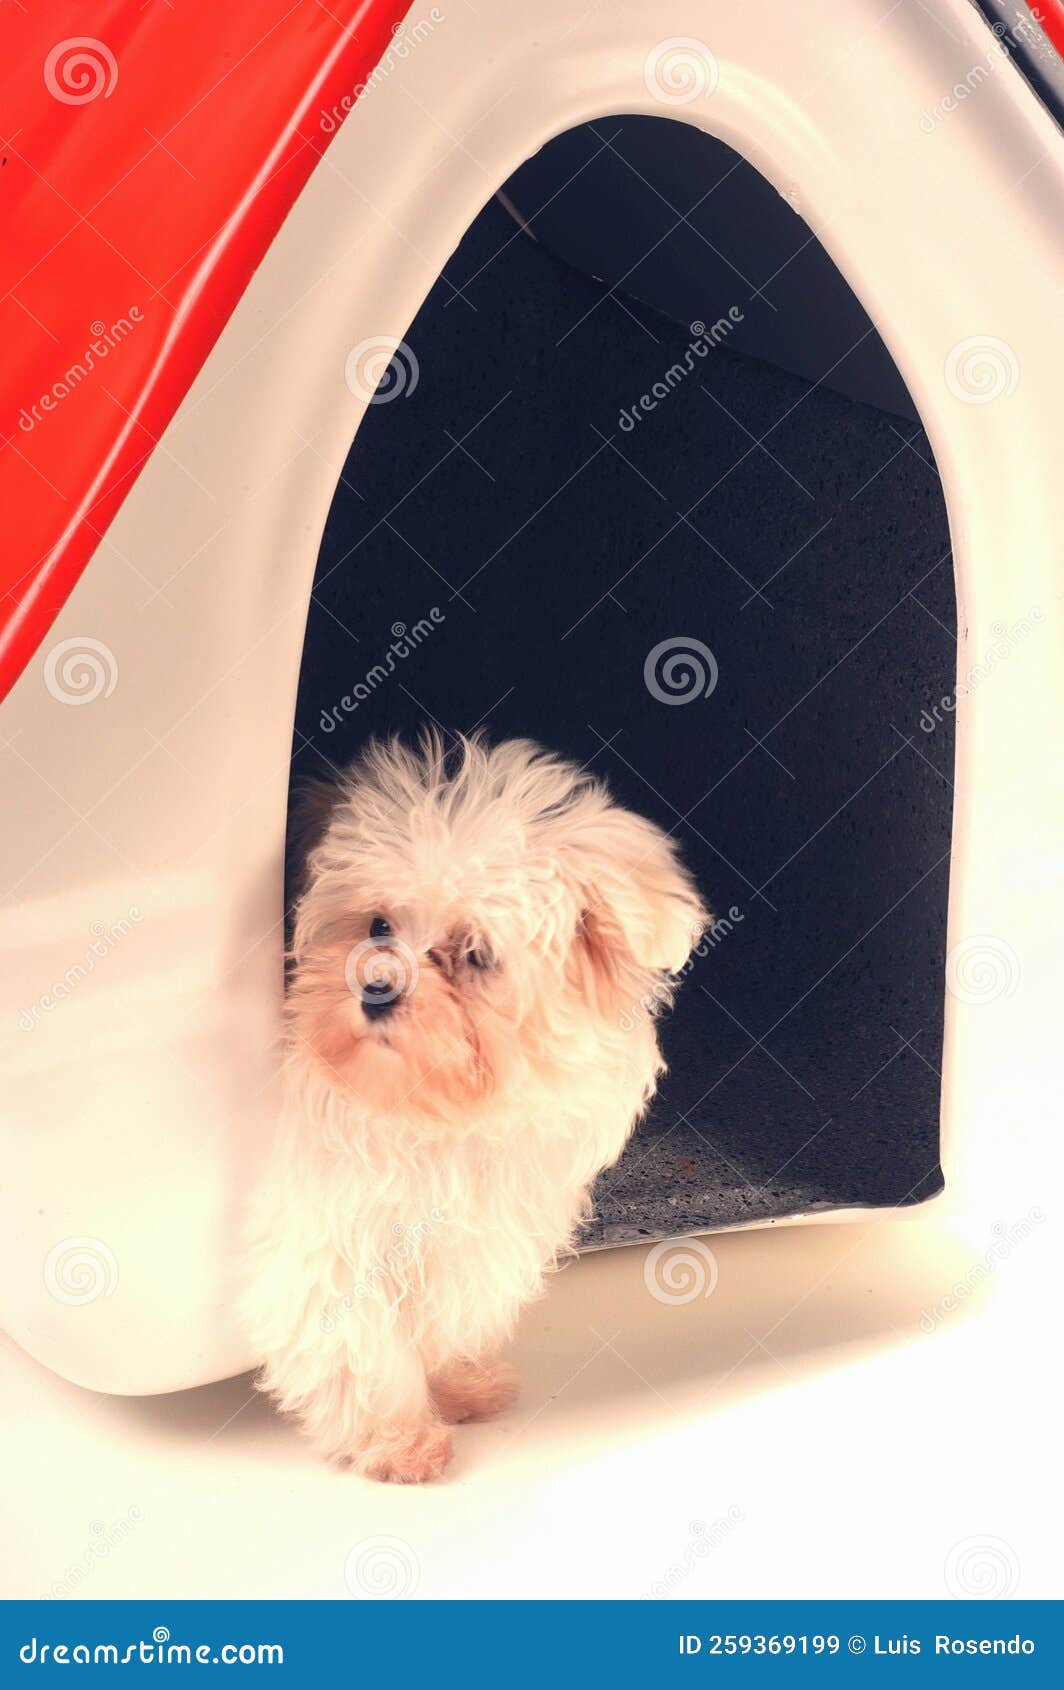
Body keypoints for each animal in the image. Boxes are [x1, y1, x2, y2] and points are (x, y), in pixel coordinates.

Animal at [241, 733, 709, 1487]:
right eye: (378, 924)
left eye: (476, 954)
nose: (375, 987)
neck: (435, 1117)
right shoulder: (326, 1241)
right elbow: (359, 1345)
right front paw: (400, 1438)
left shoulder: (476, 1236)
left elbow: (452, 1310)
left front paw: (460, 1383)